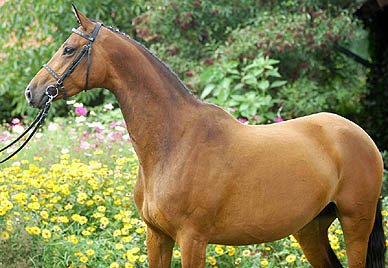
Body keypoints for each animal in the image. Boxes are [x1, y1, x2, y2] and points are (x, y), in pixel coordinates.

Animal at [23, 5, 384, 268]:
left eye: (69, 50)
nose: (32, 91)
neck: (173, 143)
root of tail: (362, 137)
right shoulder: (157, 237)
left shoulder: (192, 239)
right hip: (310, 229)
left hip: (355, 223)